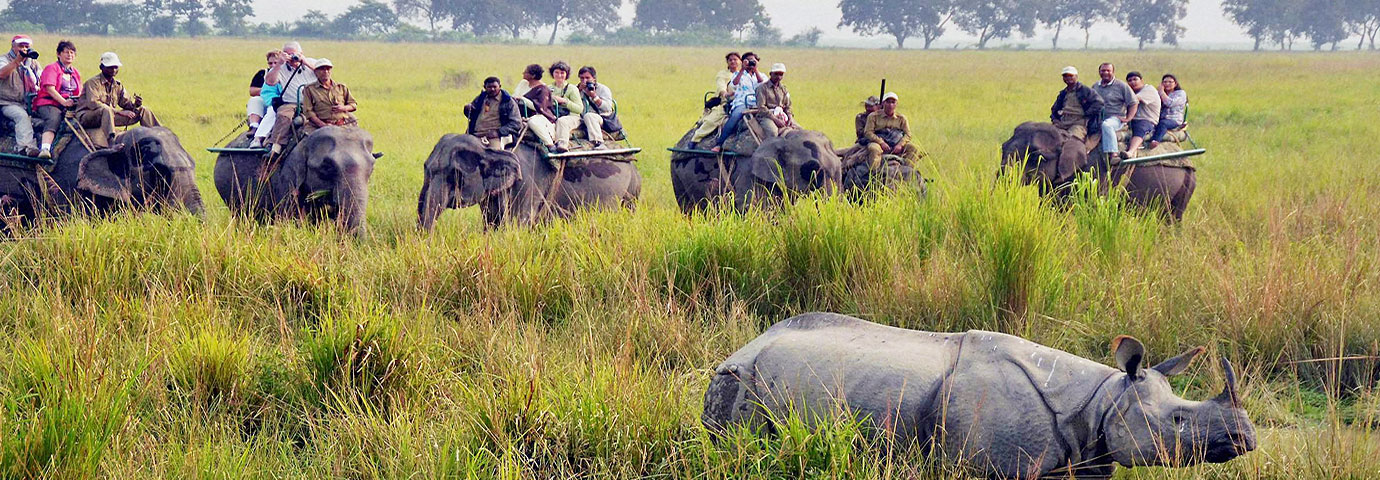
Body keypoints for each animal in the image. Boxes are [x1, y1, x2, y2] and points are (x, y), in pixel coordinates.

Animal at [414, 131, 640, 228]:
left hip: (631, 193)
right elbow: (491, 223)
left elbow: (518, 224)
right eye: (426, 169)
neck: (490, 147)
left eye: (455, 174)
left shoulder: (528, 185)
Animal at [1004, 122, 1197, 223]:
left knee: (1173, 219)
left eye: (1037, 156)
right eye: (1003, 147)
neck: (1068, 137)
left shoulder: (1097, 174)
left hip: (1187, 185)